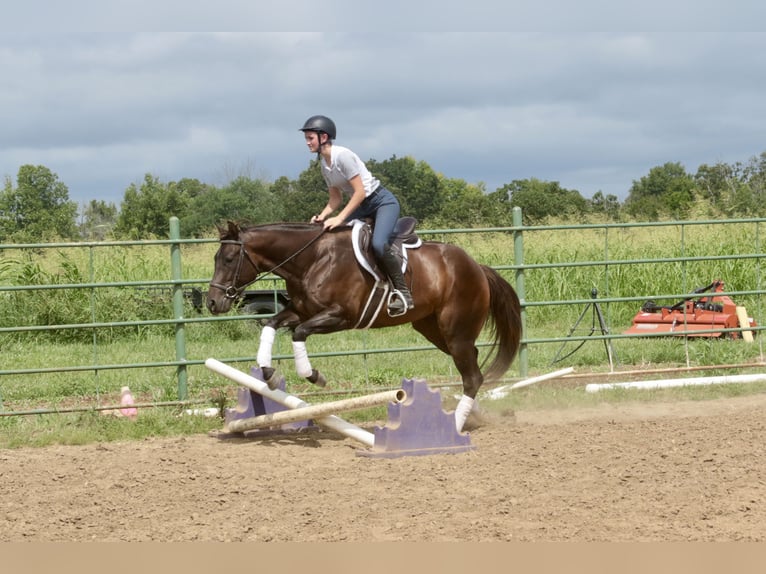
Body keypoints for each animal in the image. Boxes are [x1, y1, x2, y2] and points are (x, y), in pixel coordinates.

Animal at [206, 220, 522, 432]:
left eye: (229, 259)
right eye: (216, 258)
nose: (212, 302)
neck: (312, 259)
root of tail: (477, 267)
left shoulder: (340, 317)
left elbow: (299, 333)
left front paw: (314, 376)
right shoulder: (301, 310)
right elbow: (271, 325)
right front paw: (269, 374)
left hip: (455, 332)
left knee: (472, 375)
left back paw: (454, 425)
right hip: (433, 330)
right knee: (473, 370)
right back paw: (471, 413)